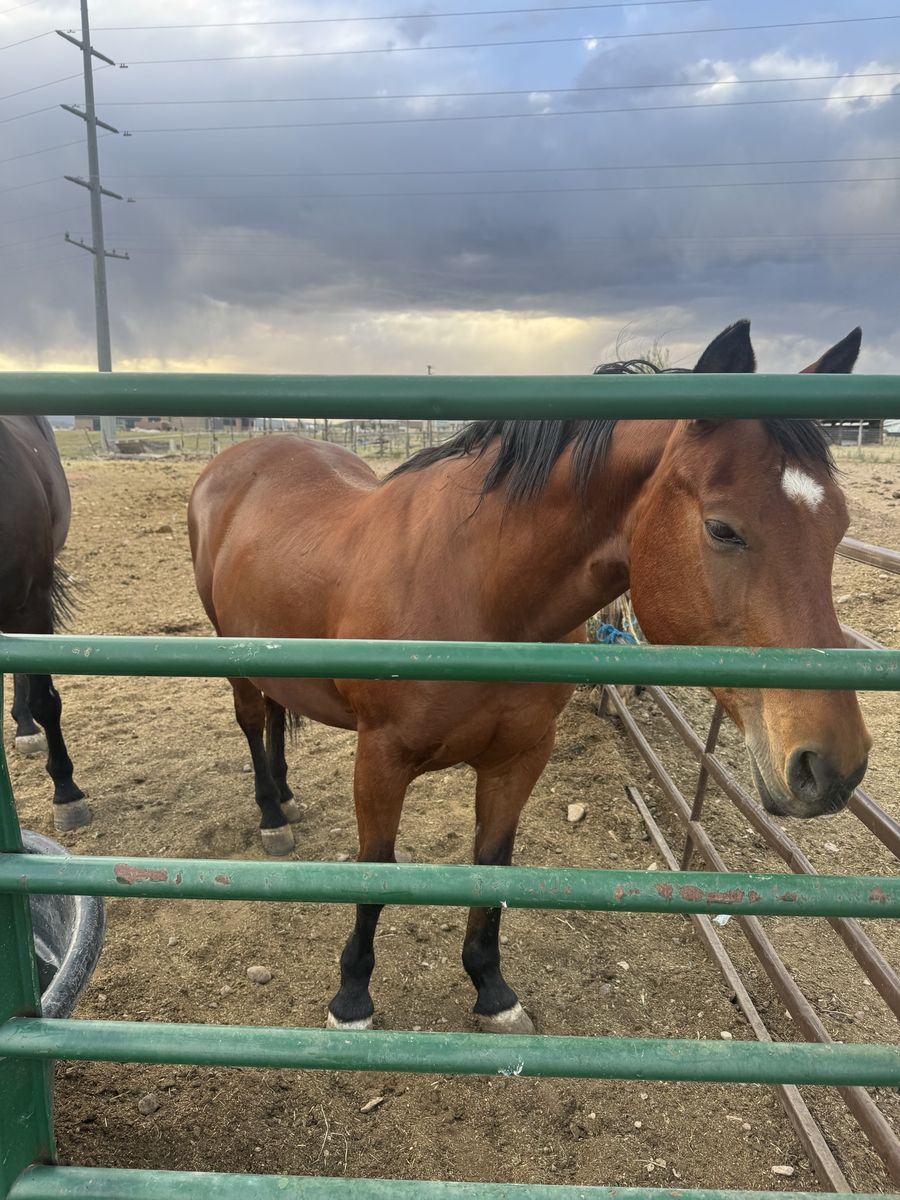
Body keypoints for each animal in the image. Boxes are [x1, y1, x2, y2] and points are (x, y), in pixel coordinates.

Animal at [188, 319, 869, 1034]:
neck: (478, 591)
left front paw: (491, 989)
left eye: (838, 527)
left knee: (275, 715)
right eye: (722, 529)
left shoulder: (518, 756)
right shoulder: (380, 758)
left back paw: (287, 796)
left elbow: (493, 868)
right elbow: (376, 869)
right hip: (231, 653)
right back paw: (272, 814)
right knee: (253, 720)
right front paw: (352, 997)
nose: (833, 766)